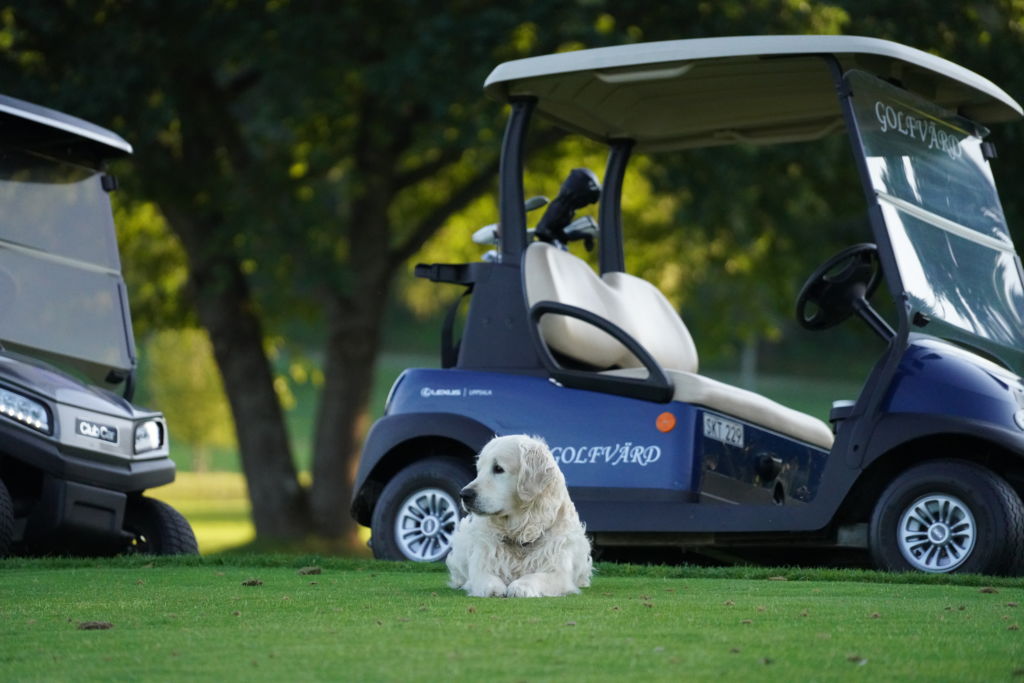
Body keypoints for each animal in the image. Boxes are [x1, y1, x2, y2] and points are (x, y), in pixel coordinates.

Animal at [446, 436, 593, 593]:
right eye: (479, 470)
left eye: (498, 468)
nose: (464, 494)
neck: (521, 533)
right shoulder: (482, 563)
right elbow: (484, 577)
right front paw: (494, 588)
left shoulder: (559, 572)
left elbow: (537, 577)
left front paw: (521, 586)